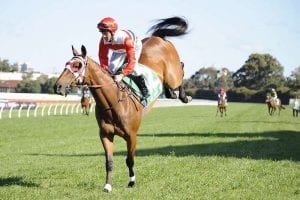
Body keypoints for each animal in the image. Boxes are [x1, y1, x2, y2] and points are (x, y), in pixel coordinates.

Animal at [54, 16, 192, 192]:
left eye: (77, 65)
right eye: (66, 64)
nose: (57, 86)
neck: (114, 102)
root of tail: (158, 37)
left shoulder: (131, 136)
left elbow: (129, 159)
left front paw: (132, 181)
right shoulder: (105, 135)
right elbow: (109, 162)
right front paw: (107, 186)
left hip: (171, 73)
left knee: (180, 69)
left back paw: (184, 96)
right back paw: (172, 93)